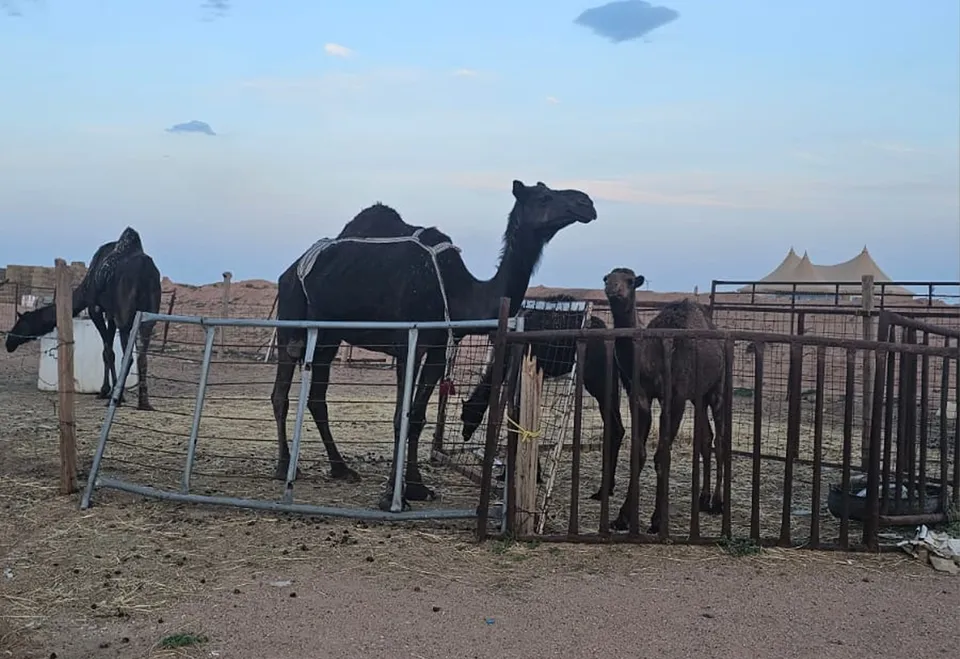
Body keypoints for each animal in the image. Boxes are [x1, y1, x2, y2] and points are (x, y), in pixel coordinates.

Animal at [5, 227, 161, 410]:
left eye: (21, 323)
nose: (8, 343)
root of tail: (146, 273)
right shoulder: (111, 313)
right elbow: (109, 350)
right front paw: (108, 391)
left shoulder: (96, 308)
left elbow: (108, 352)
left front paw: (107, 392)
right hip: (149, 317)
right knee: (142, 356)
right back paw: (144, 402)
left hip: (126, 317)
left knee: (128, 357)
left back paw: (118, 399)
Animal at [271, 180, 597, 511]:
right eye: (544, 196)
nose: (587, 203)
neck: (461, 292)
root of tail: (291, 269)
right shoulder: (408, 344)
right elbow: (400, 416)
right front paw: (391, 495)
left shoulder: (439, 348)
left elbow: (417, 417)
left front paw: (417, 487)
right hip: (291, 315)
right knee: (281, 391)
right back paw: (285, 466)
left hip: (328, 334)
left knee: (316, 396)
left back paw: (341, 468)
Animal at [459, 289, 645, 500]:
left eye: (467, 415)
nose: (465, 434)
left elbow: (518, 415)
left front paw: (525, 475)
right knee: (616, 426)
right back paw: (608, 488)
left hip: (596, 377)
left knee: (614, 424)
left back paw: (602, 490)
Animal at [602, 267, 726, 534]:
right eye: (607, 277)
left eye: (630, 281)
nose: (613, 288)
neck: (651, 356)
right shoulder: (639, 396)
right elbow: (638, 453)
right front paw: (622, 518)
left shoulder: (675, 397)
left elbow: (663, 456)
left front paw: (657, 520)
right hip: (698, 397)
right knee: (706, 438)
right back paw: (703, 499)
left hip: (717, 388)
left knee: (720, 440)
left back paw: (718, 503)